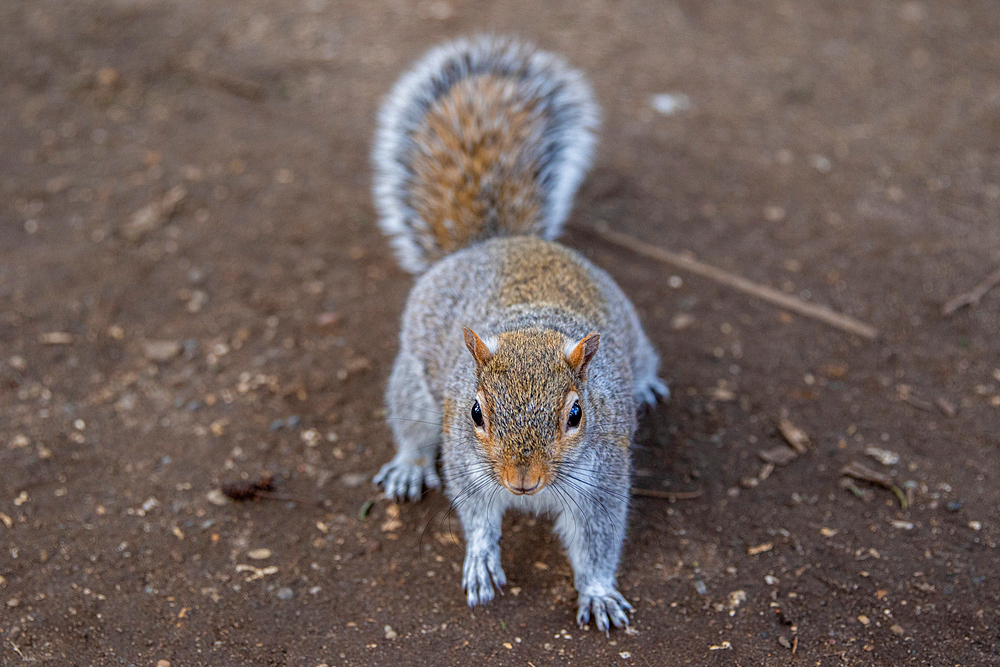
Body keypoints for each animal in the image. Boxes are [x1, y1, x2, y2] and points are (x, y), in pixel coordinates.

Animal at [372, 35, 668, 632]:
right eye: (475, 412)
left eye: (576, 414)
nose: (521, 481)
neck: (530, 326)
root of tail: (498, 241)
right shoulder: (466, 462)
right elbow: (477, 516)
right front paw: (482, 558)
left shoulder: (603, 481)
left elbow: (598, 542)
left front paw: (598, 593)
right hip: (413, 384)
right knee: (411, 424)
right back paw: (409, 466)